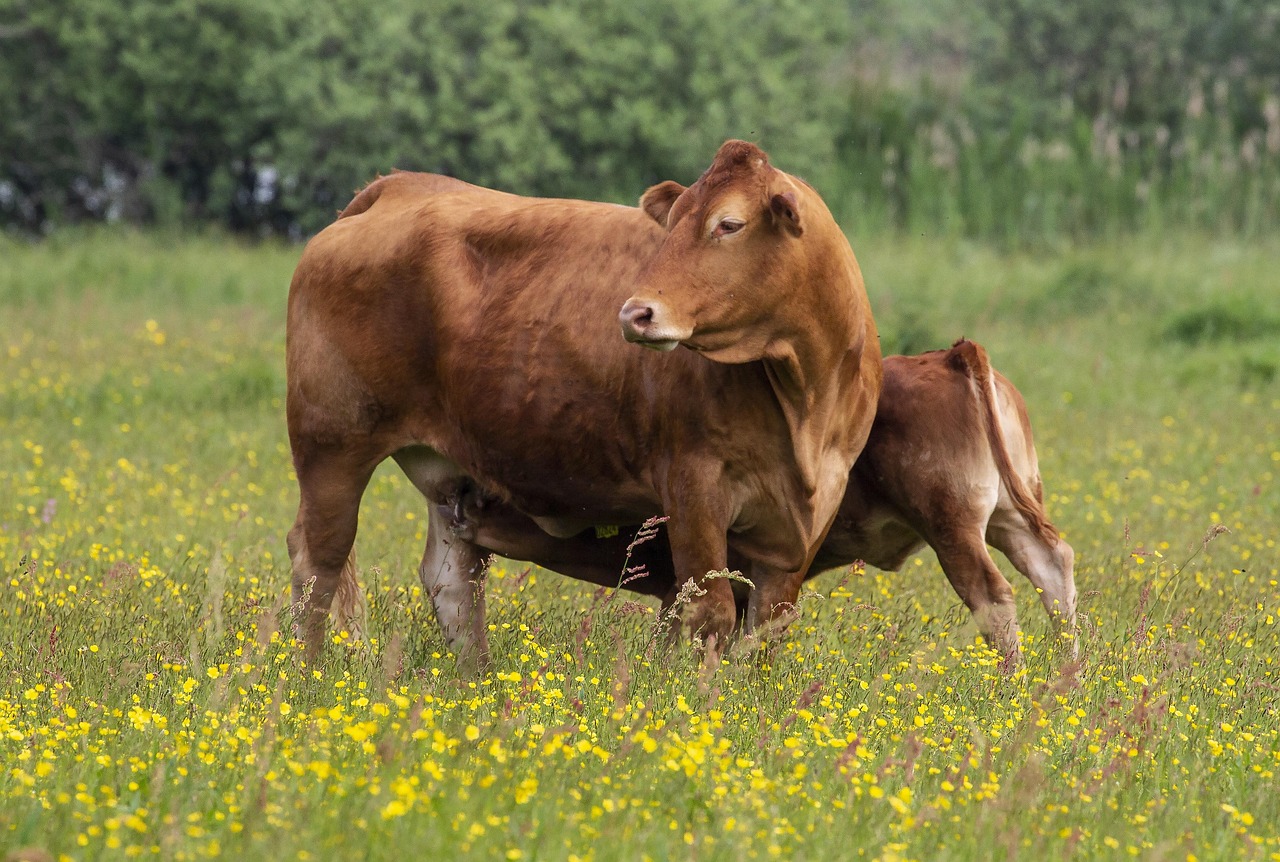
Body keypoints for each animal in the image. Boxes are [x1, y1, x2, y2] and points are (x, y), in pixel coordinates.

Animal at [285, 140, 882, 668]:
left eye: (730, 224)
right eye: (673, 221)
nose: (636, 313)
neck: (805, 401)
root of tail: (398, 186)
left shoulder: (800, 526)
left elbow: (765, 631)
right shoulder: (693, 486)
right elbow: (707, 612)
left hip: (449, 473)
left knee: (451, 581)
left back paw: (476, 680)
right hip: (332, 443)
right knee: (319, 561)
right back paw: (306, 674)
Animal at [414, 339, 1076, 664]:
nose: (460, 503)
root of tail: (948, 356)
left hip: (953, 526)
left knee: (994, 596)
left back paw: (1012, 682)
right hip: (1009, 517)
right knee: (1054, 568)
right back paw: (1065, 676)